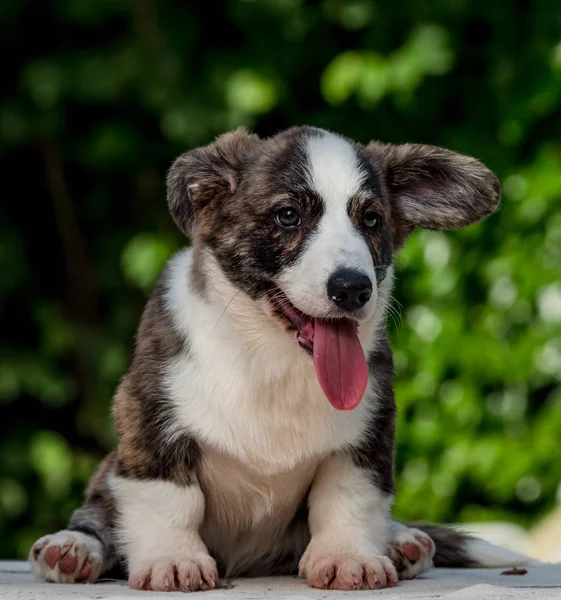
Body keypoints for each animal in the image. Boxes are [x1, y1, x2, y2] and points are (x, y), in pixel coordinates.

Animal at [27, 126, 532, 592]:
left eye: (372, 219)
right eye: (288, 216)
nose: (353, 288)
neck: (273, 356)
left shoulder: (366, 433)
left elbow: (348, 498)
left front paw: (350, 557)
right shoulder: (149, 421)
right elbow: (169, 500)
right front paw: (173, 559)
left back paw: (401, 543)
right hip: (110, 469)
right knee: (98, 513)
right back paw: (72, 549)